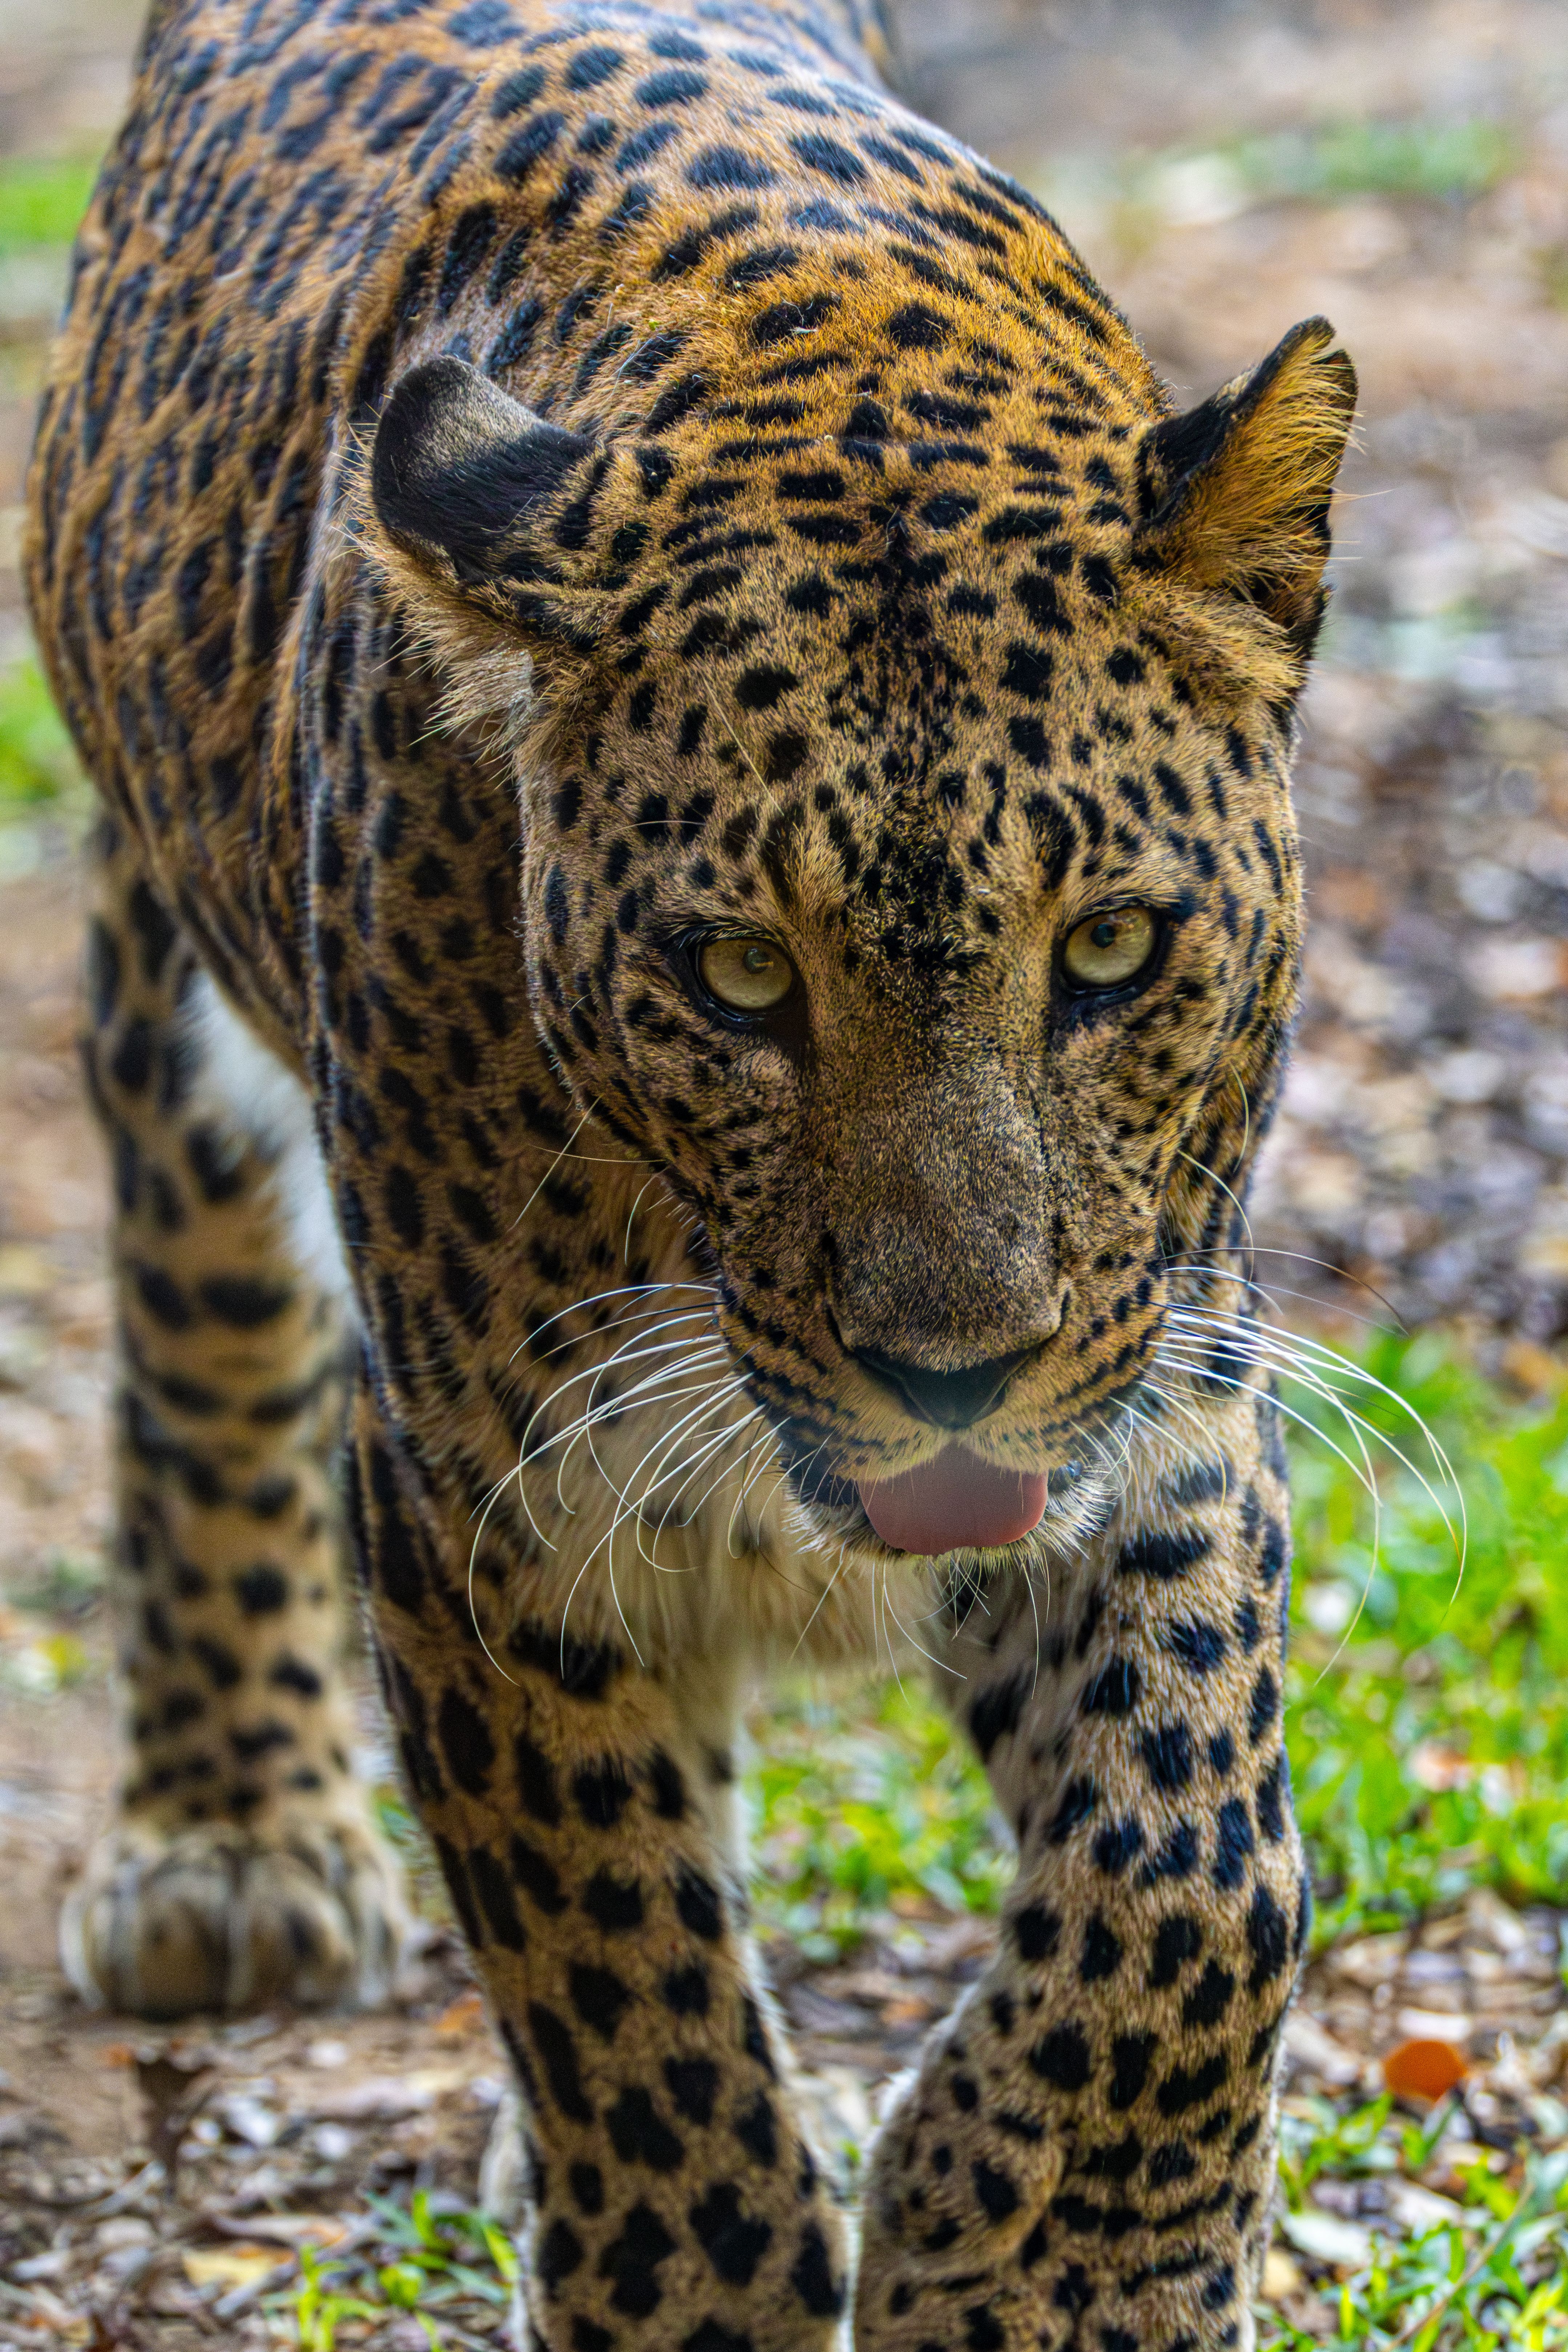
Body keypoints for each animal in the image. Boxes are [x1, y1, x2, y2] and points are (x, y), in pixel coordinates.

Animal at [24, 0, 1358, 2340]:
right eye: (736, 975)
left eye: (1108, 950)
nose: (945, 1370)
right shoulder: (485, 1484)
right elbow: (619, 1973)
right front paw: (698, 2281)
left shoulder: (1163, 1390)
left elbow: (1190, 1867)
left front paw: (1041, 2266)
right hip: (163, 965)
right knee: (197, 1299)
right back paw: (230, 1838)